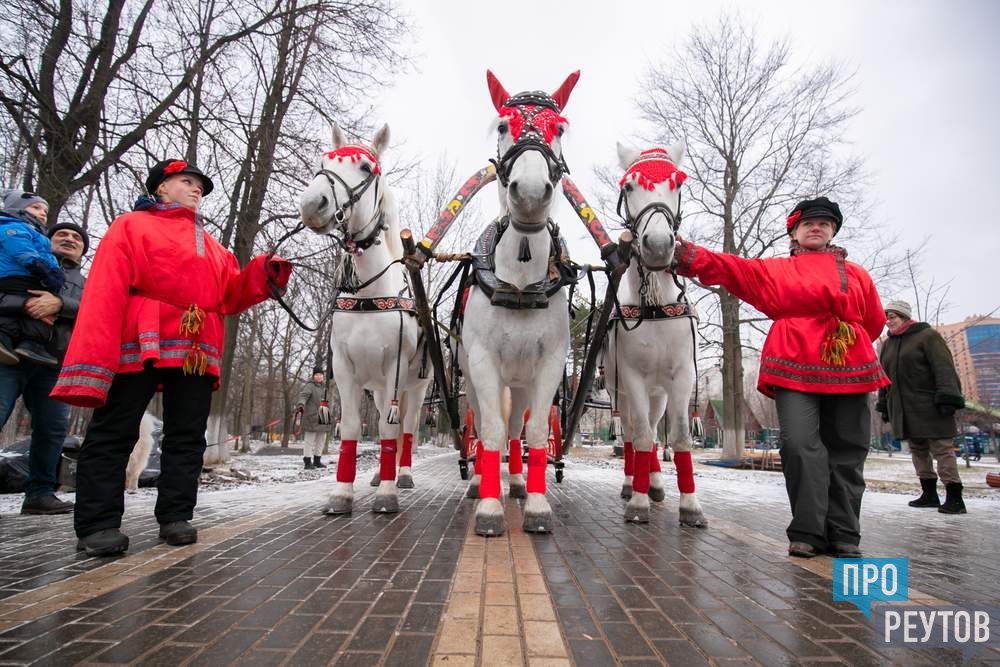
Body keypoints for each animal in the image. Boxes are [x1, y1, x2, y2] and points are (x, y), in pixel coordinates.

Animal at [299, 123, 431, 514]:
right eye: (324, 161)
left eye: (365, 168)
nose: (312, 205)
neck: (369, 297)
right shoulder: (345, 369)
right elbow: (352, 428)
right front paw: (342, 494)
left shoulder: (395, 368)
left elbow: (388, 430)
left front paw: (387, 495)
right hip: (377, 387)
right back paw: (377, 476)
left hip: (416, 386)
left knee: (407, 427)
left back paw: (401, 476)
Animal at [458, 70, 580, 536]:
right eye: (502, 126)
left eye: (558, 129)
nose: (528, 191)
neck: (523, 285)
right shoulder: (482, 362)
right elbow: (489, 432)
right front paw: (490, 509)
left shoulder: (547, 366)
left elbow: (535, 434)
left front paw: (538, 505)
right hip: (475, 379)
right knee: (481, 424)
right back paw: (481, 483)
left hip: (521, 381)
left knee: (516, 427)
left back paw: (515, 482)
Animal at [605, 142, 708, 528]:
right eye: (630, 186)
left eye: (677, 184)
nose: (660, 245)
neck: (656, 305)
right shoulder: (631, 377)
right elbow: (642, 436)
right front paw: (637, 501)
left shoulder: (682, 376)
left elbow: (679, 435)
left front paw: (690, 504)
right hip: (619, 391)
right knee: (634, 430)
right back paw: (631, 483)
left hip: (658, 392)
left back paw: (655, 483)